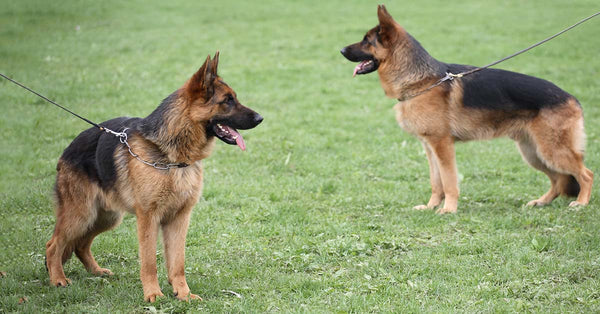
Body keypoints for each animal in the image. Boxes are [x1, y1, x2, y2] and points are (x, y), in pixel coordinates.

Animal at [45, 52, 262, 302]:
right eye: (228, 100)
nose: (260, 118)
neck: (173, 157)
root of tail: (66, 151)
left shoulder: (179, 218)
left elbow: (177, 262)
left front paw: (183, 293)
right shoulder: (148, 218)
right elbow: (149, 262)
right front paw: (153, 294)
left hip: (106, 217)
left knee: (81, 244)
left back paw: (96, 271)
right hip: (82, 215)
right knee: (53, 244)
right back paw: (57, 279)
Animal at [340, 5, 592, 213]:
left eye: (366, 41)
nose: (341, 50)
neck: (422, 81)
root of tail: (573, 98)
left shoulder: (443, 146)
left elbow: (449, 181)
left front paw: (448, 209)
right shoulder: (430, 147)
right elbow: (436, 182)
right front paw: (431, 206)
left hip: (551, 151)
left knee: (585, 174)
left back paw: (581, 203)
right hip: (534, 153)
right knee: (559, 180)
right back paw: (542, 201)